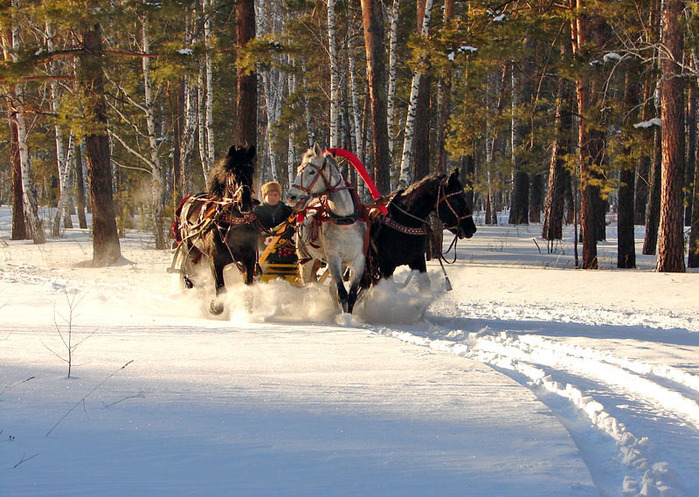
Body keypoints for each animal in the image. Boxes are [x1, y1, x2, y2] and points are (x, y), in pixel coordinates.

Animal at [174, 144, 262, 314]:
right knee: (195, 275)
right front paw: (216, 307)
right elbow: (220, 287)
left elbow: (248, 285)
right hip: (193, 251)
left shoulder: (249, 258)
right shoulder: (216, 260)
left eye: (250, 170)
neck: (233, 225)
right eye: (232, 172)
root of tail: (188, 200)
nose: (244, 204)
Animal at [286, 144, 370, 314]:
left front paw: (348, 316)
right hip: (306, 260)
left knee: (331, 288)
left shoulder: (358, 260)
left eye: (311, 172)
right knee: (309, 286)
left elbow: (351, 295)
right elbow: (342, 292)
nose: (291, 197)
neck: (345, 220)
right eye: (298, 169)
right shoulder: (333, 259)